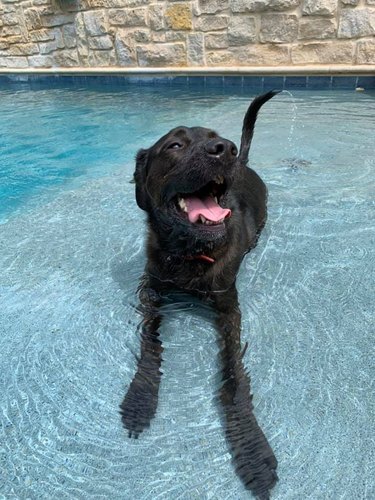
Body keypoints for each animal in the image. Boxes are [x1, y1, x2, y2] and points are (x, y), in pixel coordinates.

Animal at [120, 92, 280, 498]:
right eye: (175, 145)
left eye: (216, 137)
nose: (225, 149)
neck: (190, 253)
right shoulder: (152, 293)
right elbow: (149, 348)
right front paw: (140, 400)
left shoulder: (228, 308)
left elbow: (233, 378)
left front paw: (252, 448)